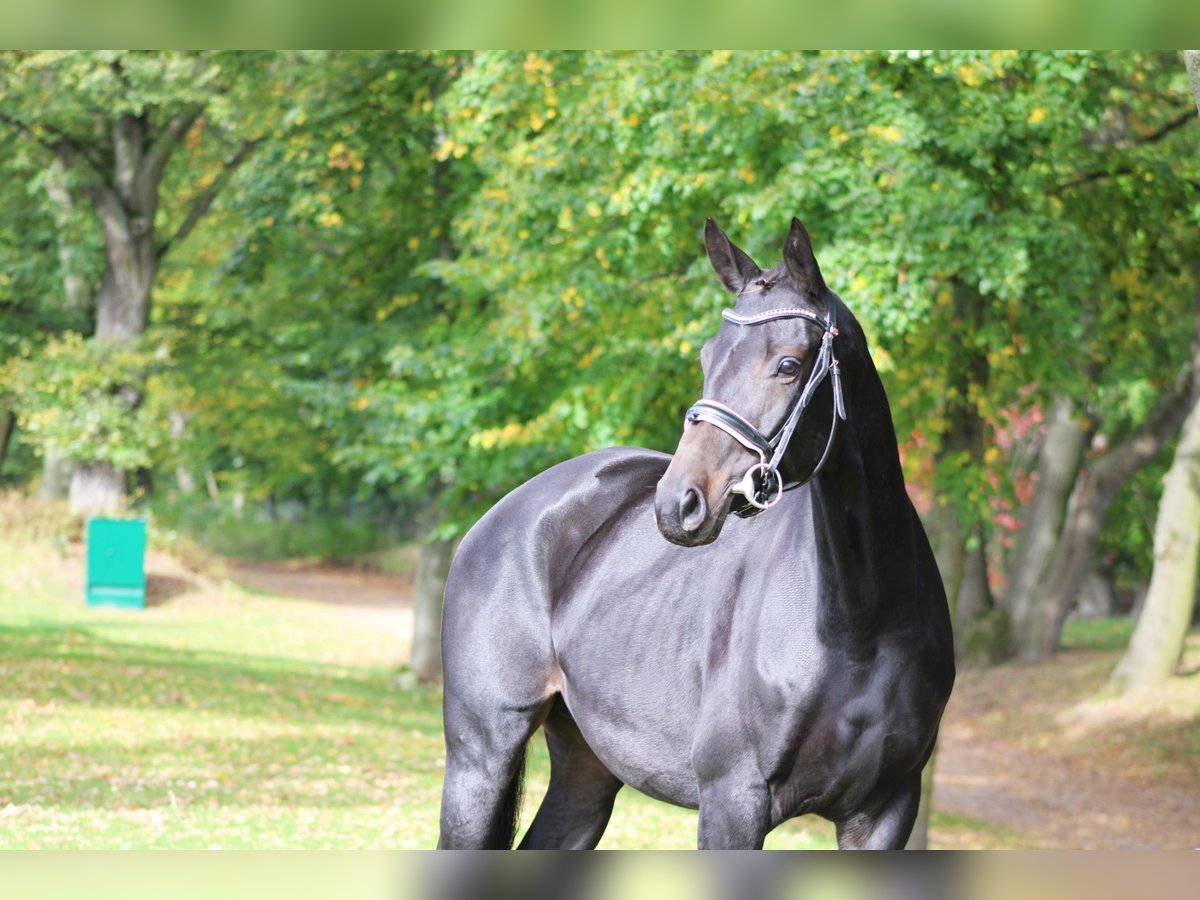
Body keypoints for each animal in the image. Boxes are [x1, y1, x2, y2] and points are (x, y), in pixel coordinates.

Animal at [436, 218, 950, 854]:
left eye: (788, 364)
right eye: (708, 355)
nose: (678, 502)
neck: (860, 623)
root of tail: (500, 517)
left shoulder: (884, 812)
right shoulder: (732, 803)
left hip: (586, 768)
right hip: (479, 759)